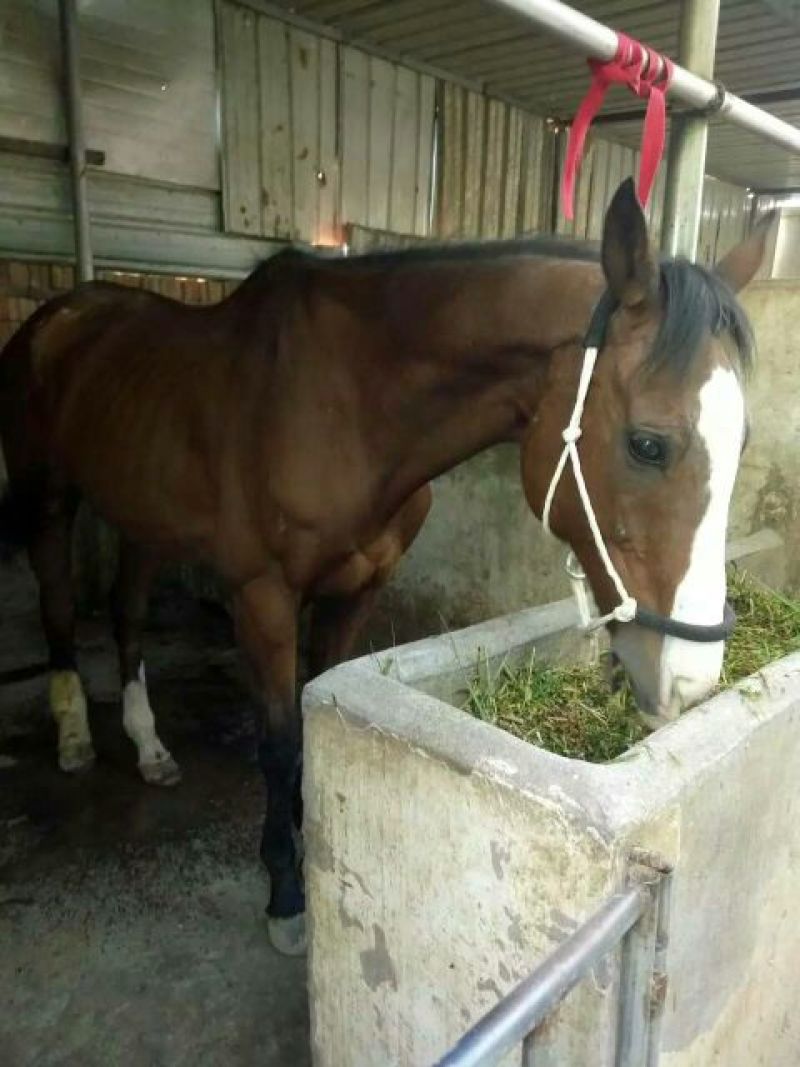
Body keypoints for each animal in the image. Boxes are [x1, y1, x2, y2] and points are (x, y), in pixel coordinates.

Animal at [0, 178, 772, 954]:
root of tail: (61, 315)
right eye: (648, 444)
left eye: (741, 441)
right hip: (48, 498)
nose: (691, 678)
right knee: (59, 606)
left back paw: (148, 745)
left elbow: (308, 715)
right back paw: (74, 737)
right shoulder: (263, 597)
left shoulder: (357, 589)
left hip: (142, 517)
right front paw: (286, 895)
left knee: (126, 614)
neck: (344, 404)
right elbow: (278, 742)